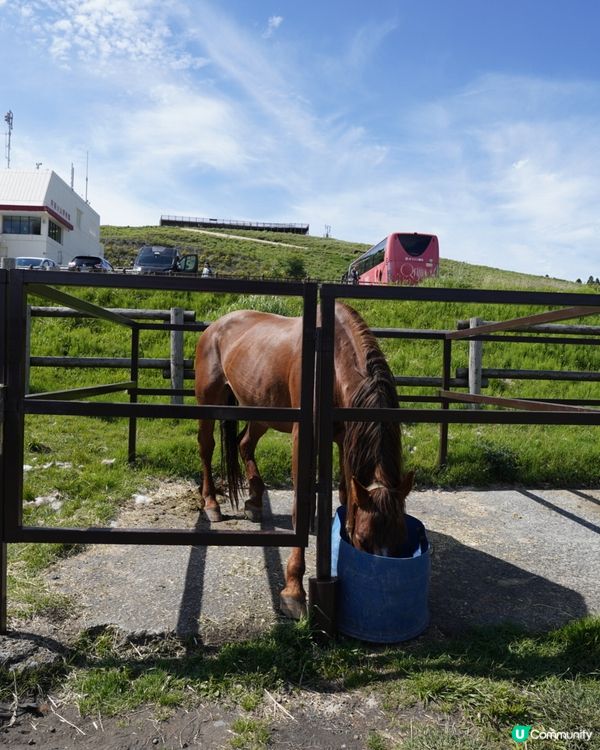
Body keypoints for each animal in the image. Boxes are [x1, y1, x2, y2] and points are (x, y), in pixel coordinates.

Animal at [195, 302, 414, 620]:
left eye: (399, 540)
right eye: (364, 541)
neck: (330, 361)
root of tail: (215, 326)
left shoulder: (345, 438)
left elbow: (347, 494)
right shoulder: (304, 437)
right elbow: (301, 505)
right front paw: (294, 591)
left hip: (261, 410)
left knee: (245, 444)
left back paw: (254, 502)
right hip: (209, 403)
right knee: (206, 448)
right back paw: (211, 503)